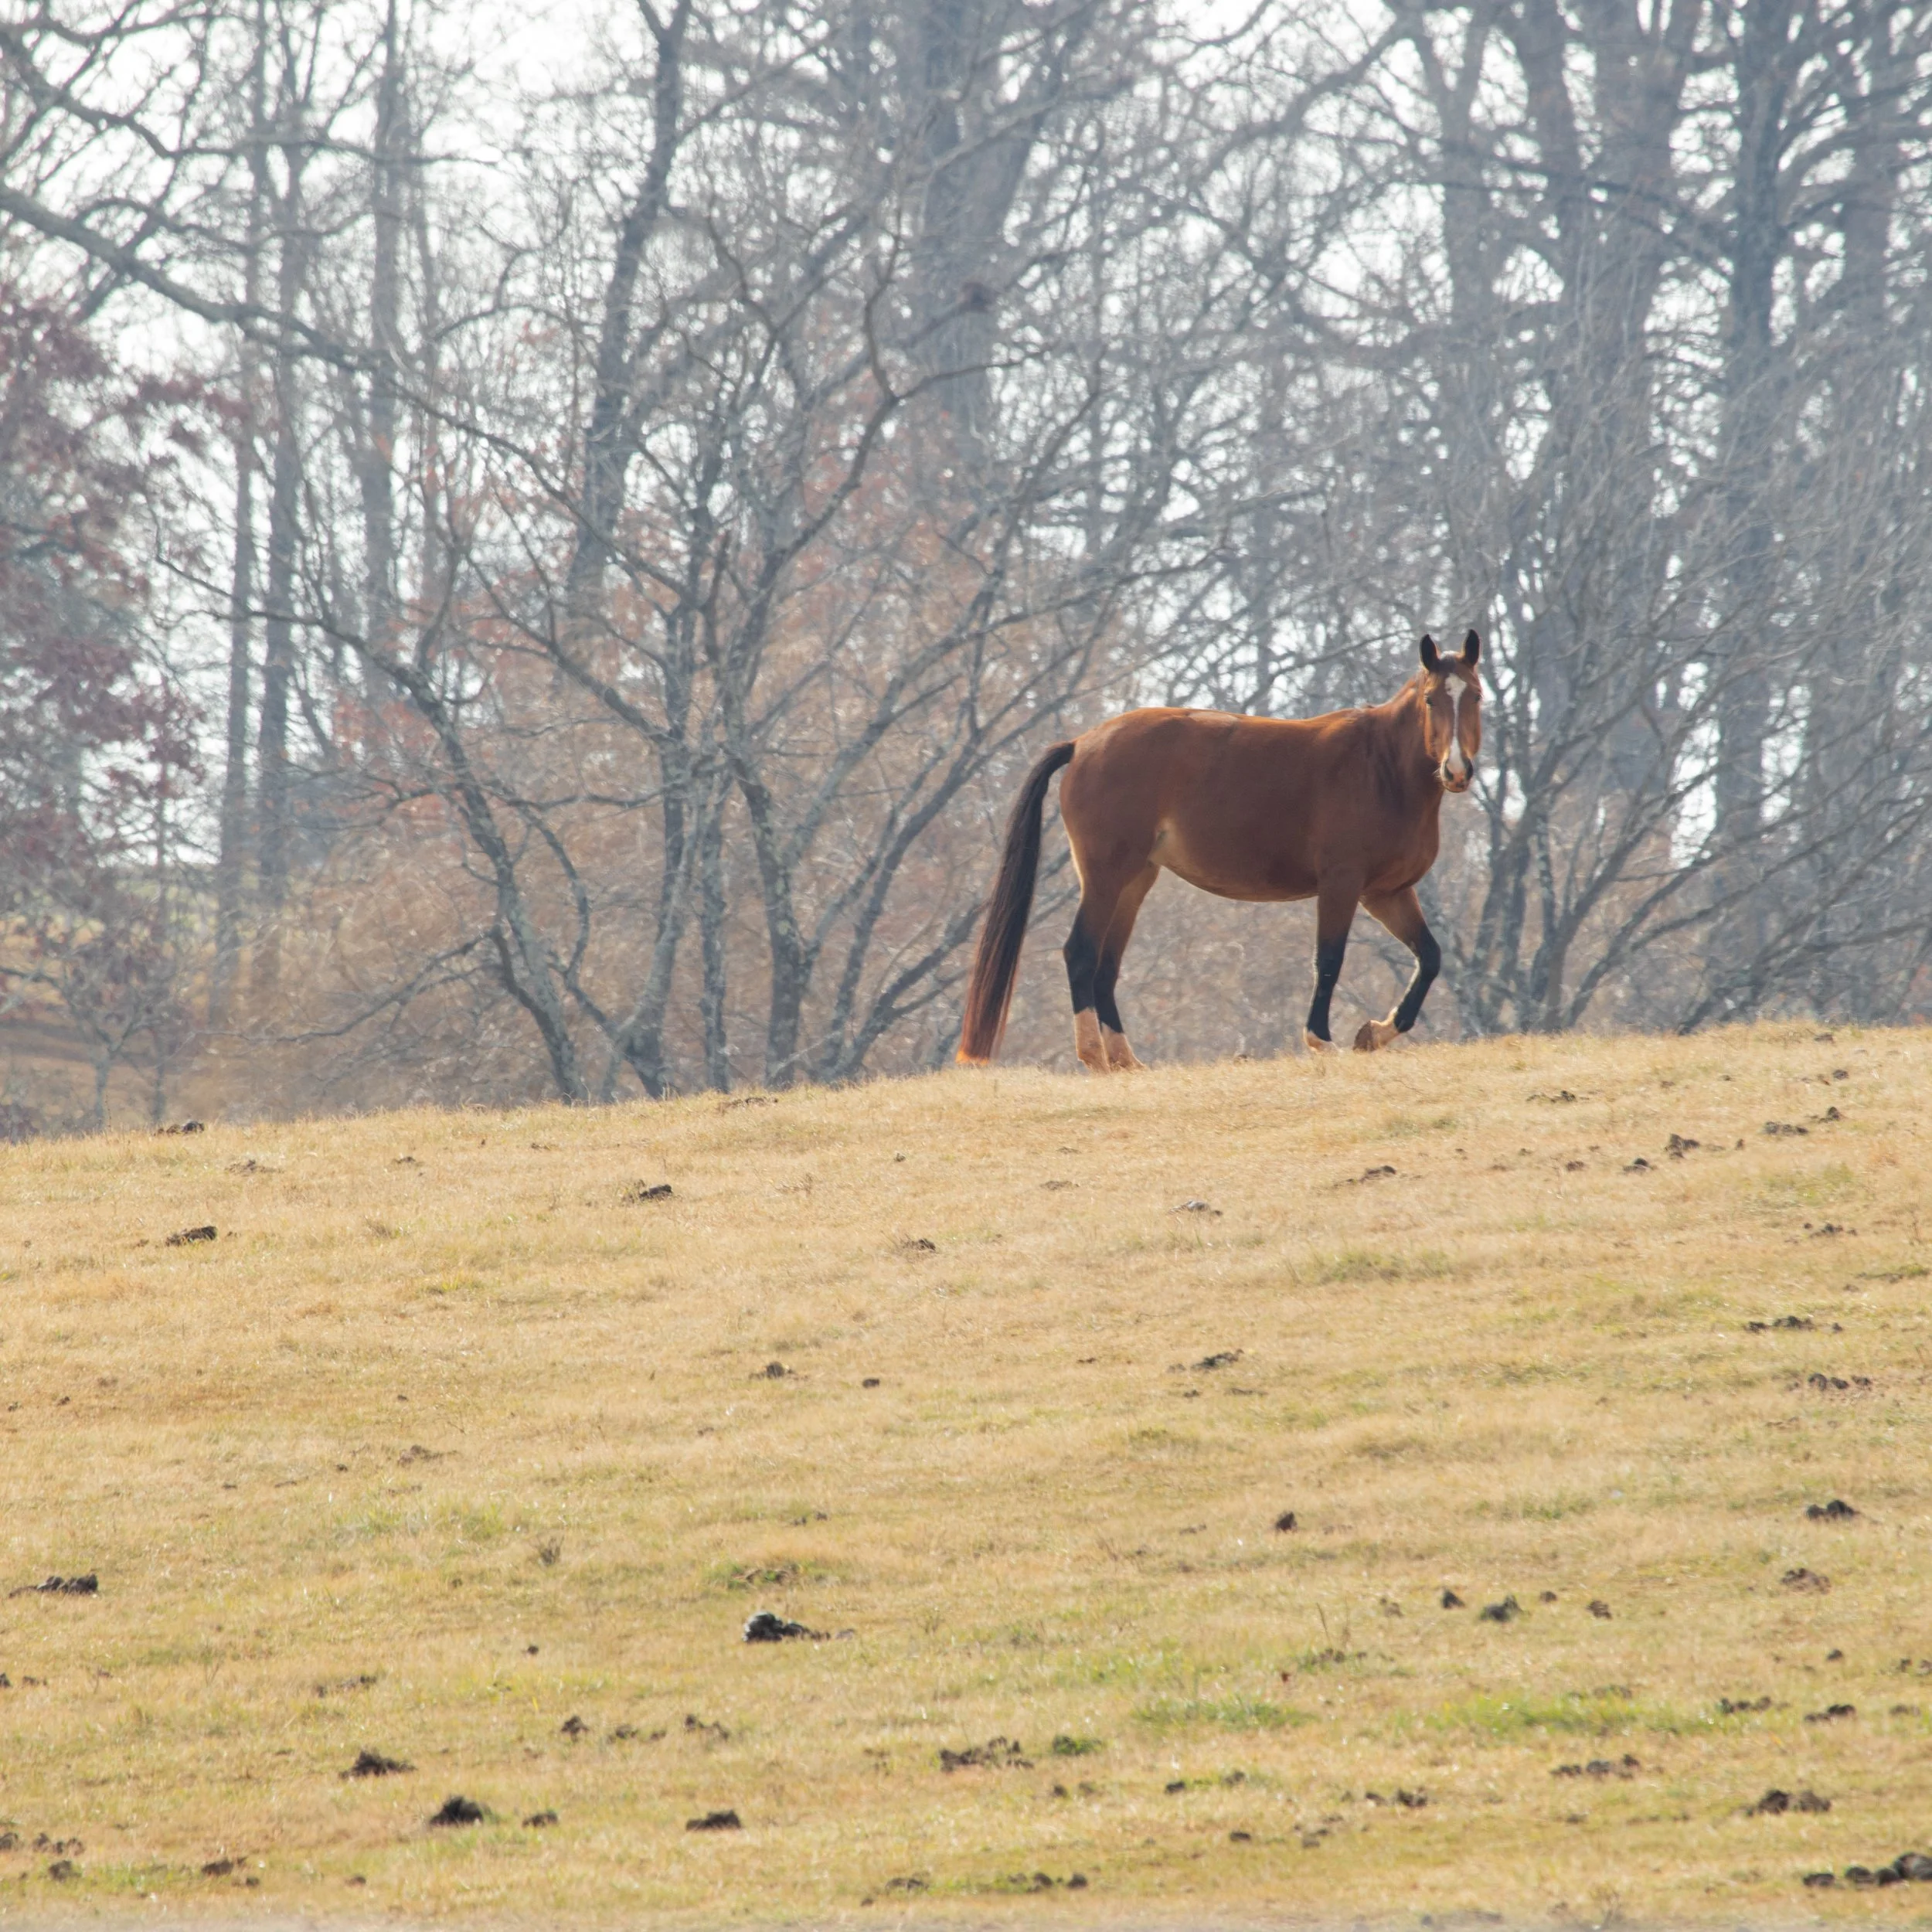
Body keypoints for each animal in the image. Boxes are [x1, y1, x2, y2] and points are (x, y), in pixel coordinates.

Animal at [956, 630, 1482, 1069]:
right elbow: (1329, 961)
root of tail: (1083, 743)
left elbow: (1430, 957)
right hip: (1106, 876)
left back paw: (1126, 1061)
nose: (1457, 770)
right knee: (1081, 953)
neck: (1381, 768)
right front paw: (1322, 1041)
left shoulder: (1387, 893)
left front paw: (1374, 1032)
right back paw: (1095, 1058)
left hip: (1135, 880)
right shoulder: (1342, 884)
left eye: (1475, 696)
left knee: (1106, 964)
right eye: (1432, 699)